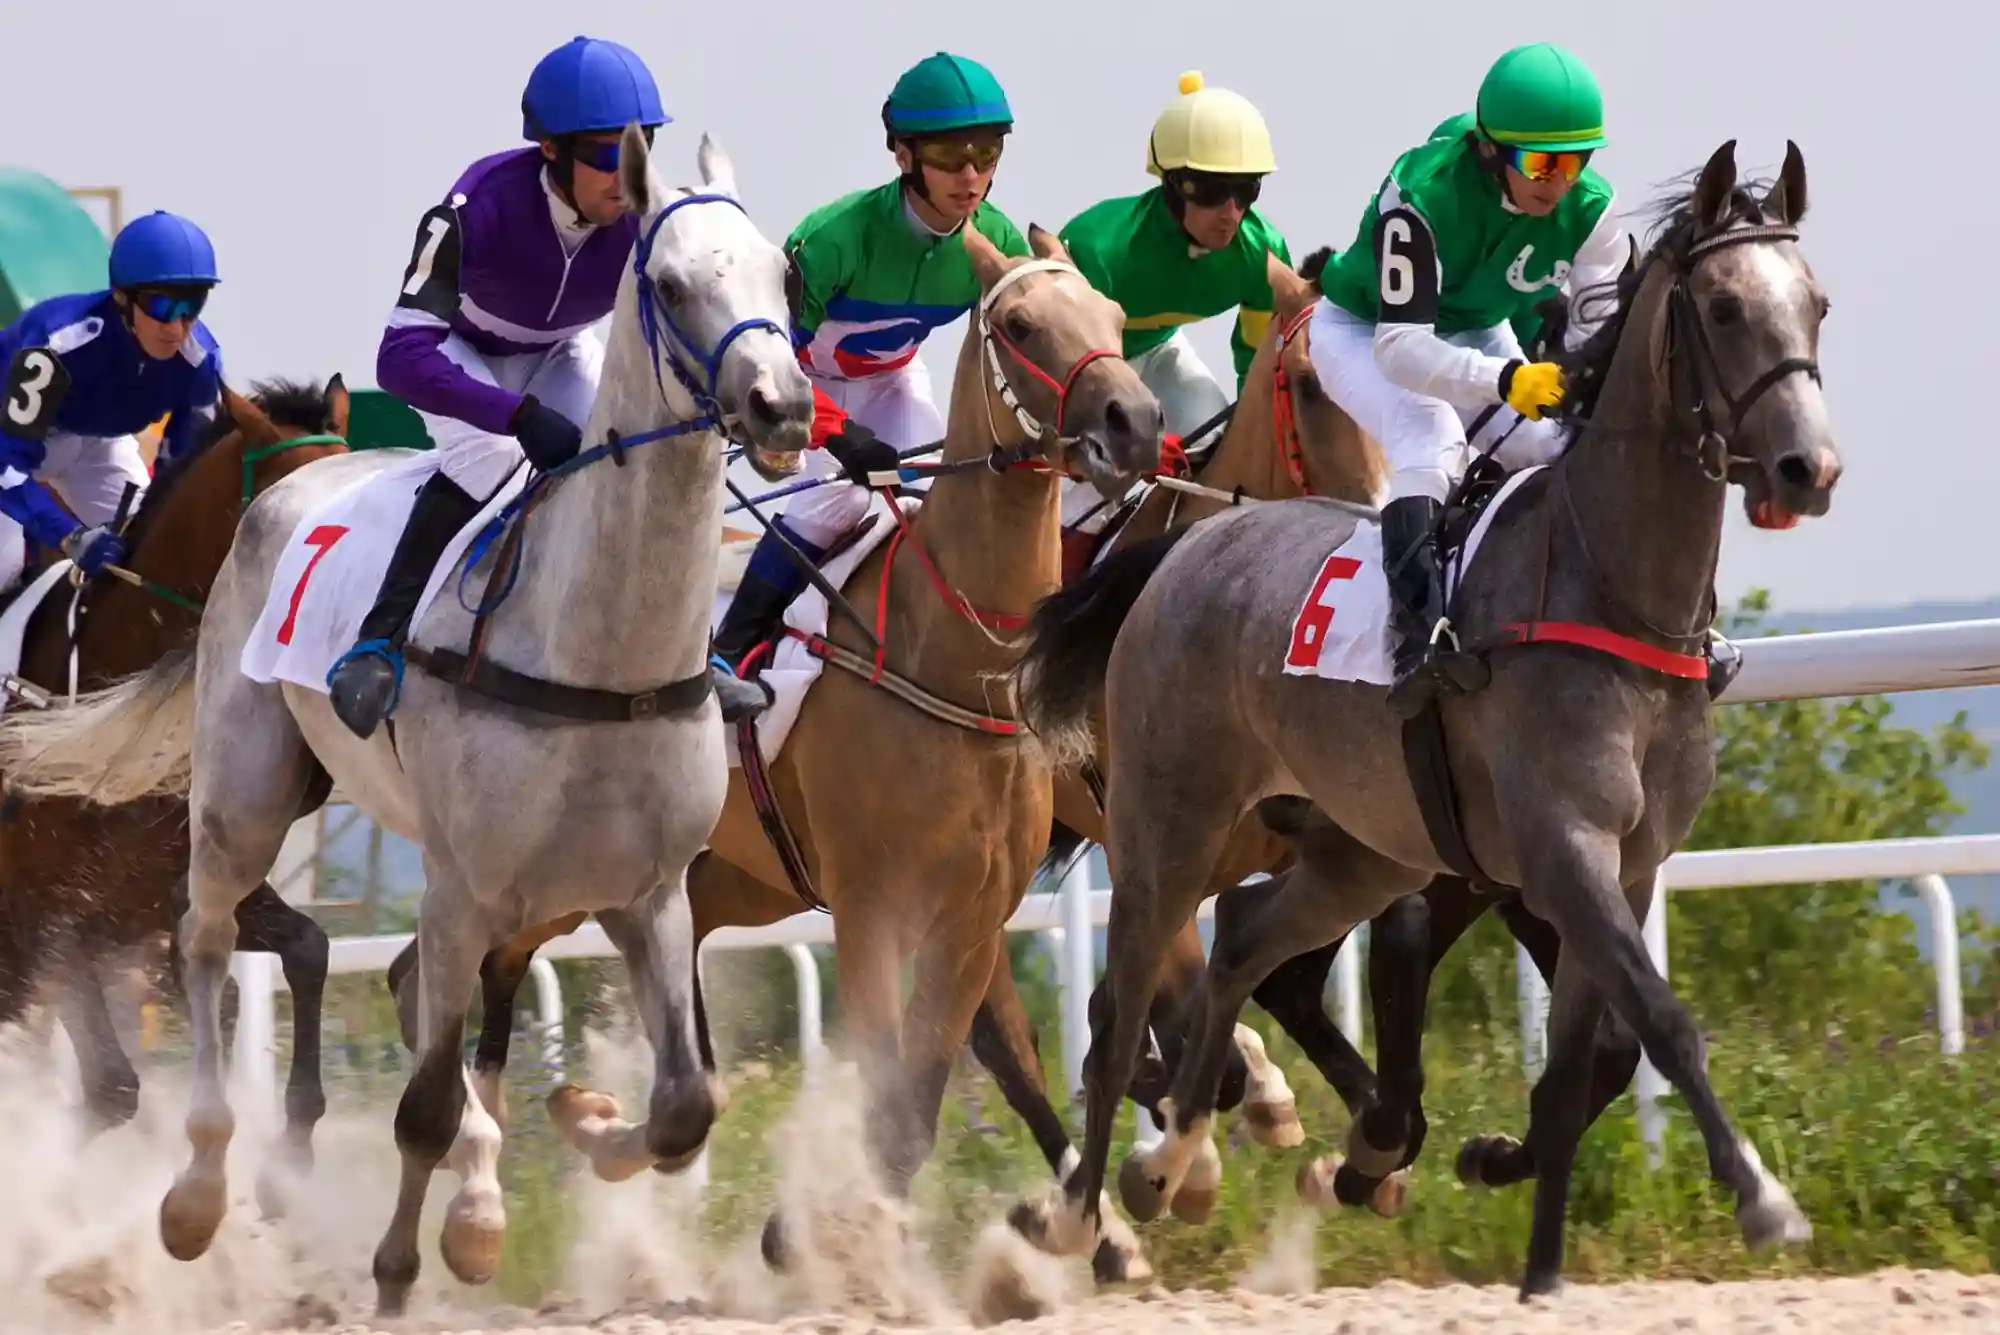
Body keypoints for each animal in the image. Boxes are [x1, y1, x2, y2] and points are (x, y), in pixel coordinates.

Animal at [1009, 141, 1837, 1298]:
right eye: (1720, 307)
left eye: (1814, 303)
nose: (1808, 469)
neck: (1610, 592)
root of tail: (1189, 545)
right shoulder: (1562, 846)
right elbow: (1662, 1024)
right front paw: (1762, 1195)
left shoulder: (1615, 866)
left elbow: (1587, 1060)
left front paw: (1532, 1255)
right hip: (1167, 826)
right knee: (1121, 1007)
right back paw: (1085, 1211)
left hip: (1363, 850)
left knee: (1243, 946)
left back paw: (1174, 1161)